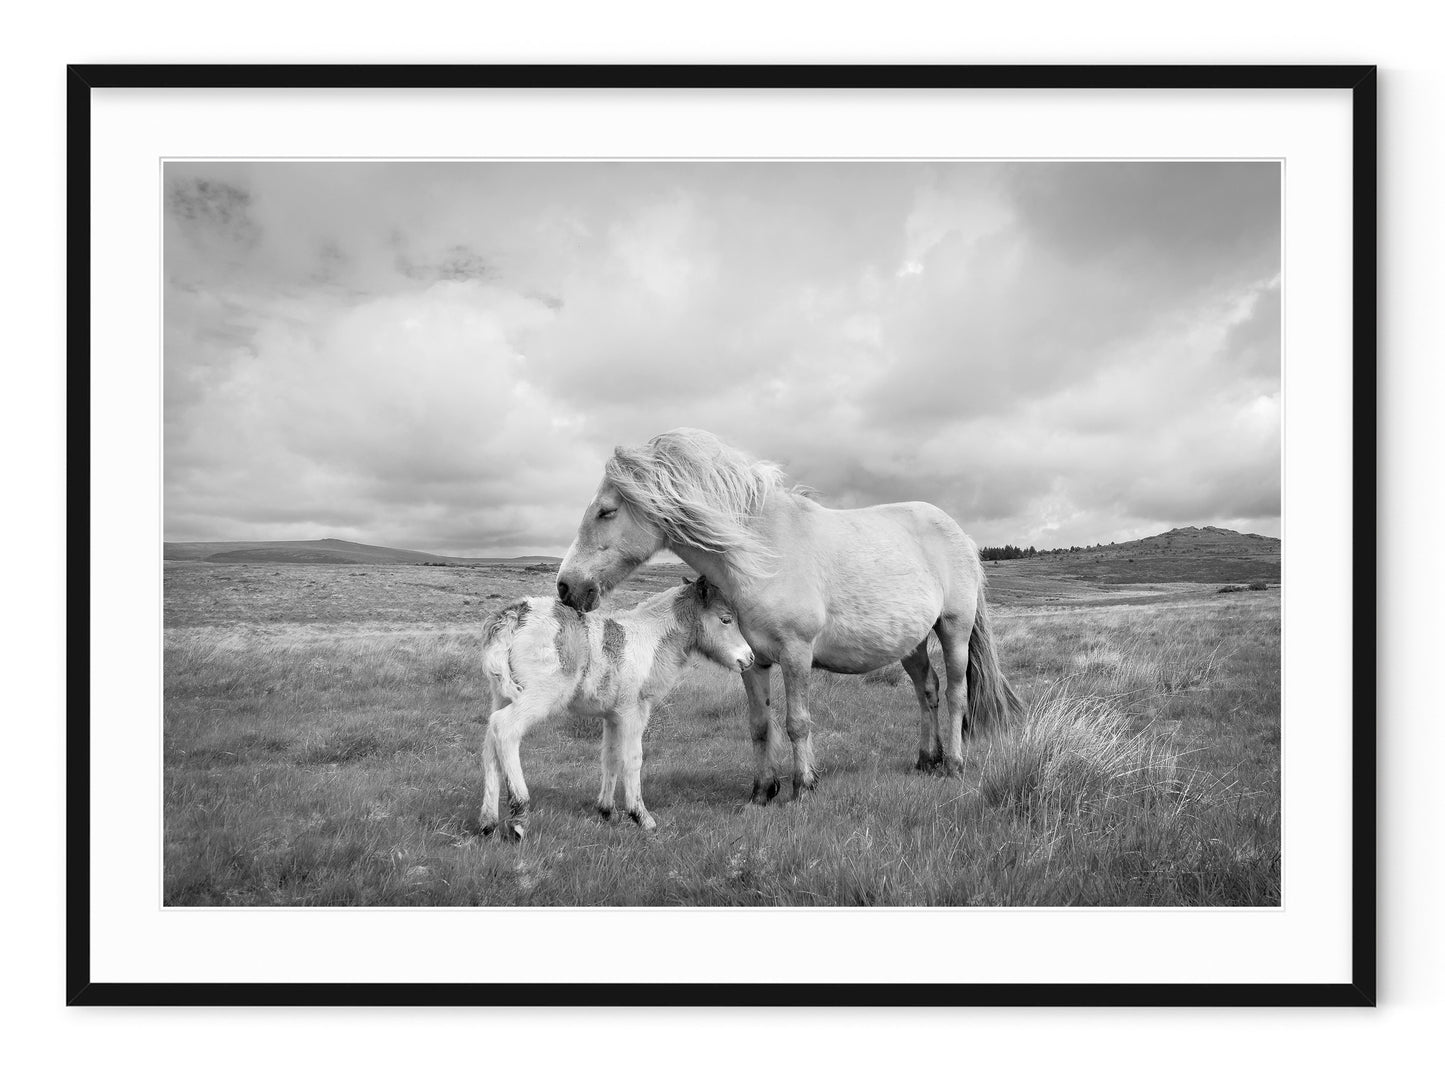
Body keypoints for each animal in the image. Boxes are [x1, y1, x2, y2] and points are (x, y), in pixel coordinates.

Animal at [478, 576, 754, 840]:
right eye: (726, 619)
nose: (749, 659)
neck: (650, 640)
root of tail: (516, 615)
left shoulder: (612, 716)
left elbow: (610, 757)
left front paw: (607, 811)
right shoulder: (634, 711)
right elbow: (633, 758)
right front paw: (641, 817)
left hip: (502, 694)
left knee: (491, 742)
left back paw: (488, 823)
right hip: (540, 695)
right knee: (505, 728)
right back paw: (519, 817)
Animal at [555, 428, 1023, 805]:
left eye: (607, 511)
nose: (565, 587)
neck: (762, 554)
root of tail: (961, 535)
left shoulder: (797, 654)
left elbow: (797, 722)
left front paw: (803, 787)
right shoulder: (752, 660)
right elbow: (761, 725)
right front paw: (763, 791)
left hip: (954, 630)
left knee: (957, 694)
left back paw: (953, 765)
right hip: (911, 643)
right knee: (927, 690)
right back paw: (927, 759)